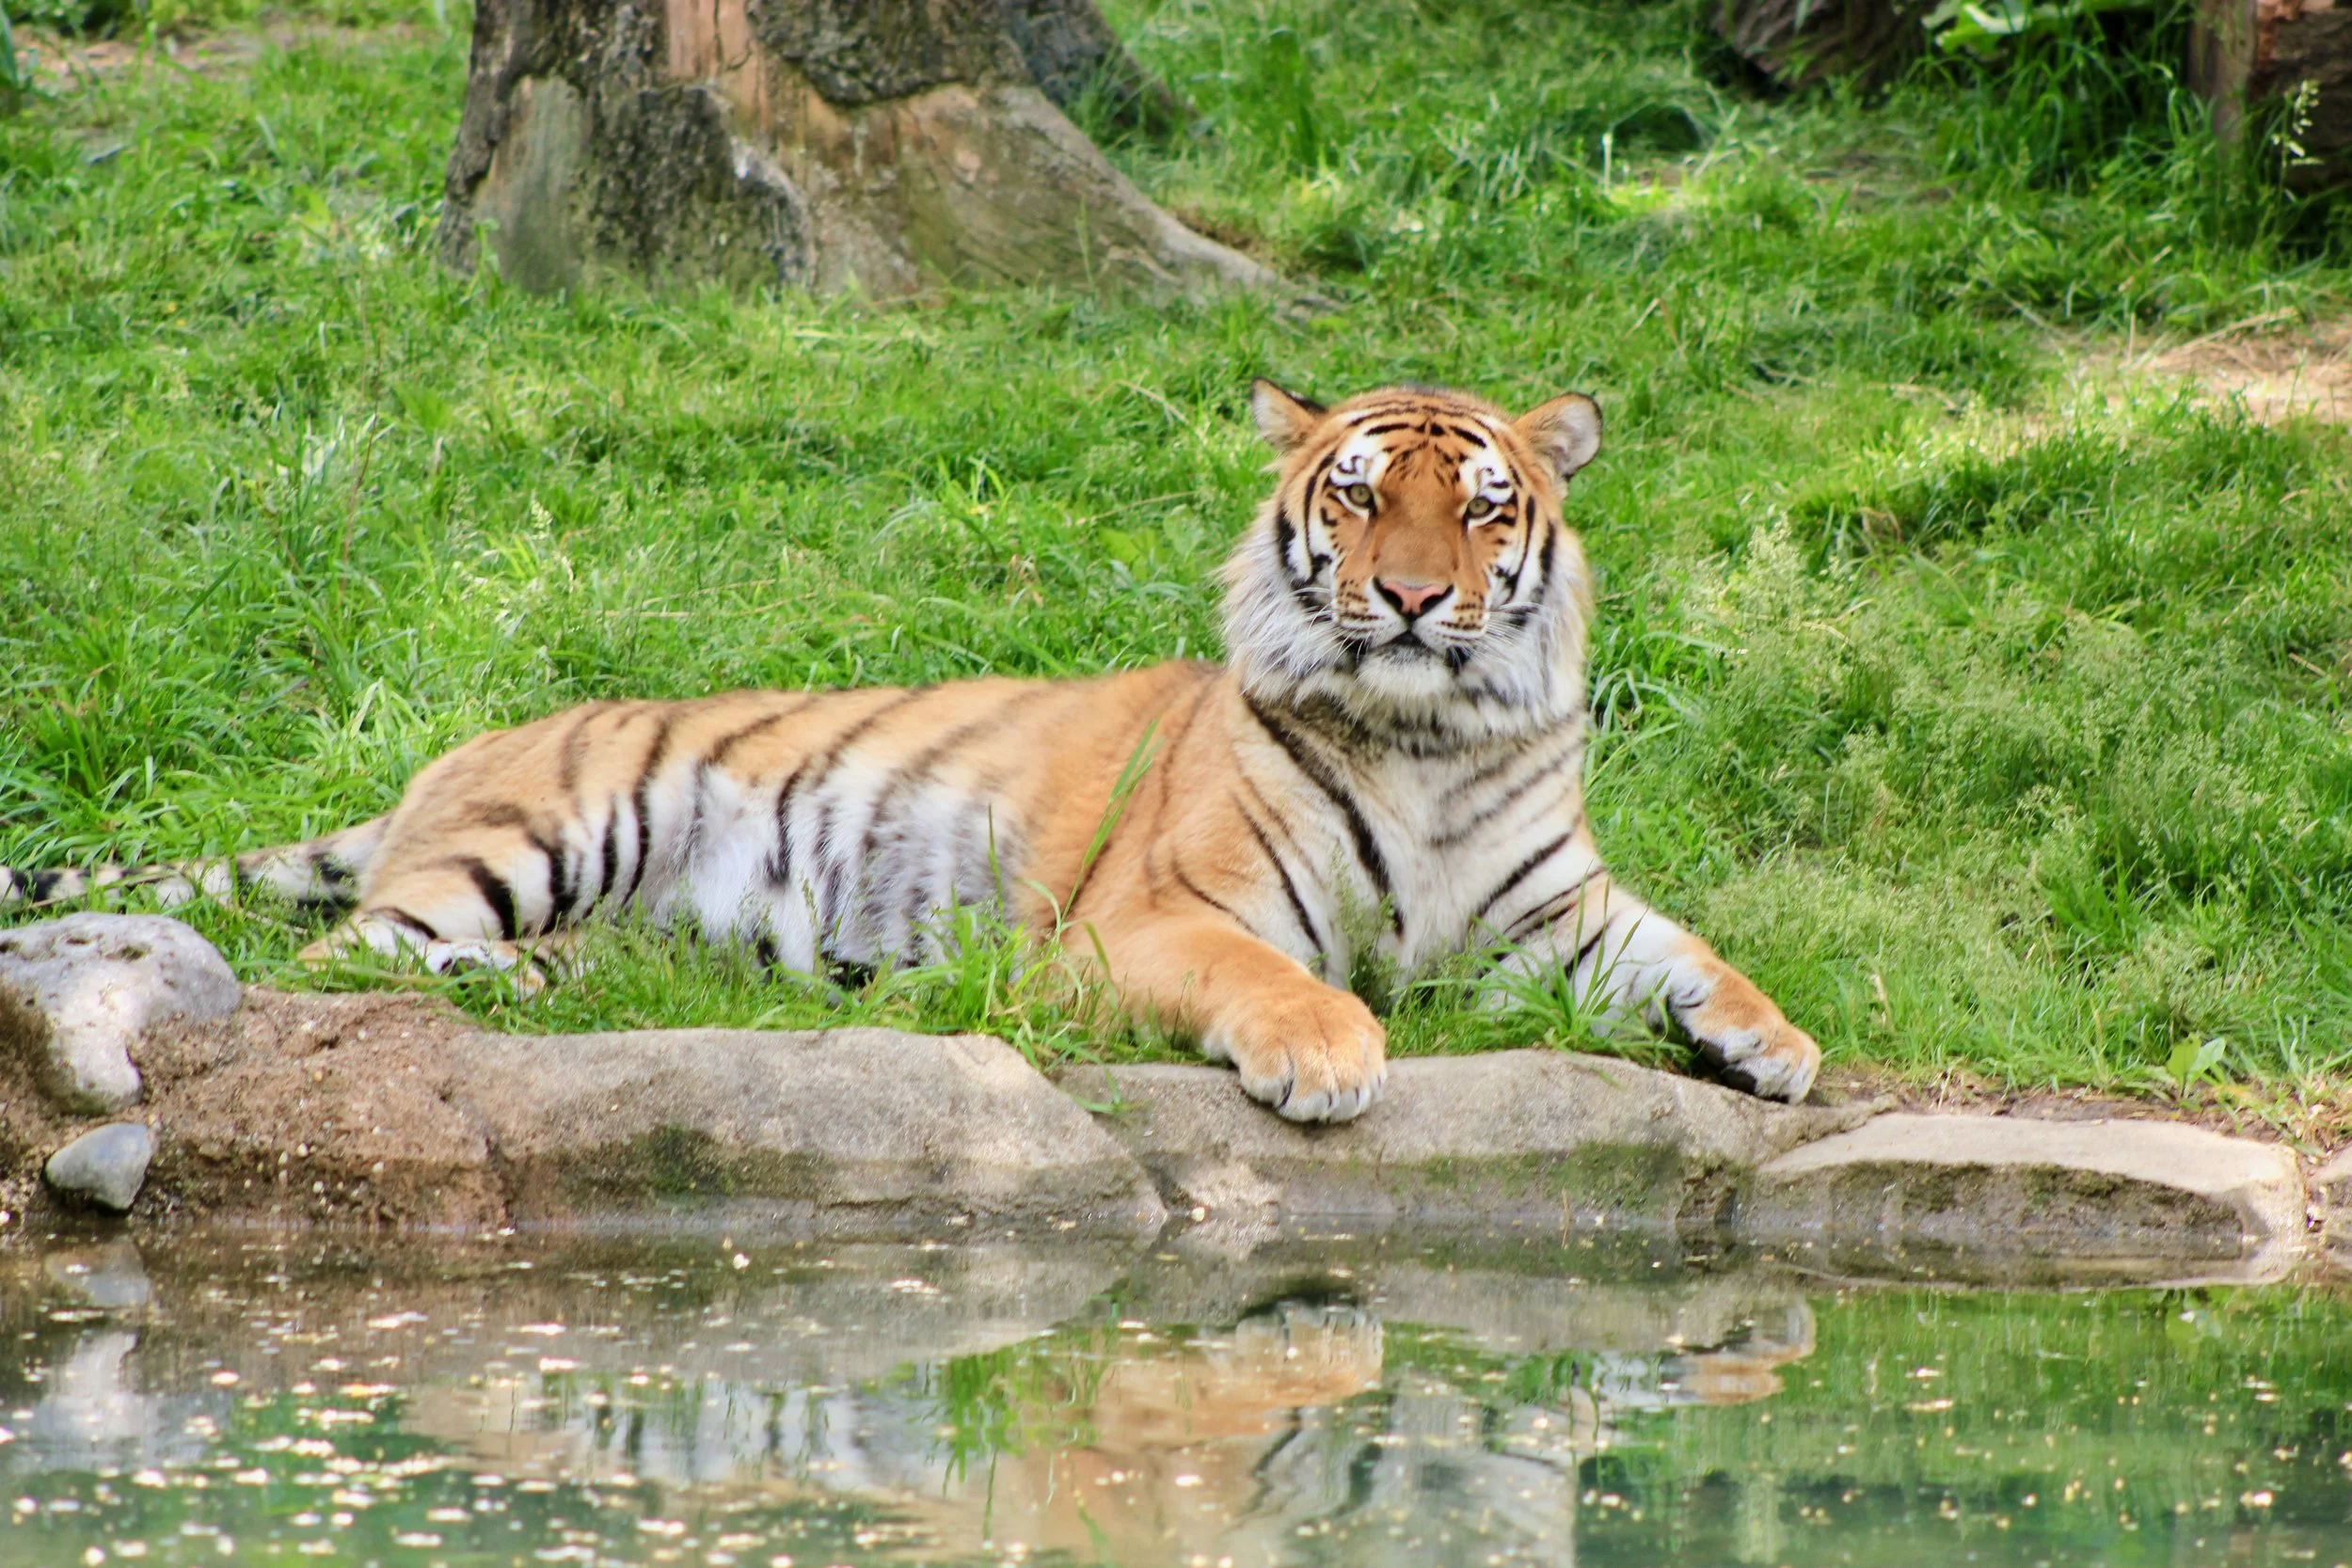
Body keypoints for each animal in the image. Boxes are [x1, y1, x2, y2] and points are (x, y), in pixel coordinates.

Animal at [1, 380, 1821, 1120]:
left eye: (1486, 506)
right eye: (1364, 495)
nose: (1417, 596)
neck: (1430, 731)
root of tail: (432, 767)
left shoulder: (1551, 907)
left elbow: (1688, 949)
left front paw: (1774, 1045)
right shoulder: (1148, 923)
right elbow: (1277, 977)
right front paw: (1327, 1054)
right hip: (546, 828)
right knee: (360, 951)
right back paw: (509, 980)